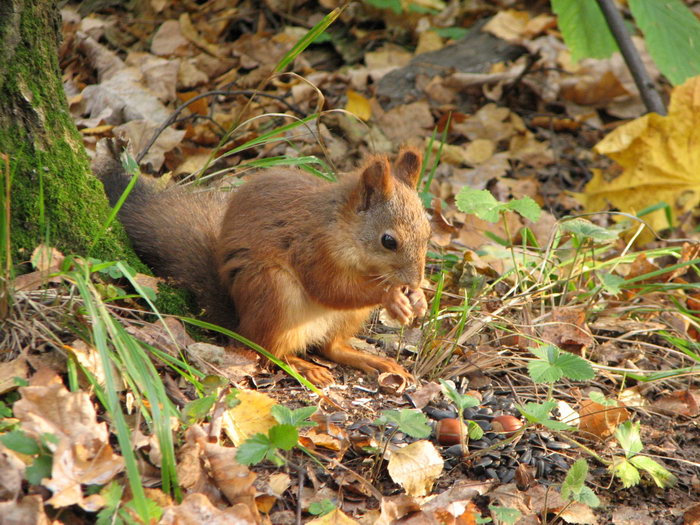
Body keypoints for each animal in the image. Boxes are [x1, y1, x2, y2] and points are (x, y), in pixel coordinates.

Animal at [94, 141, 431, 386]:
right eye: (388, 241)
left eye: (429, 232)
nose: (413, 281)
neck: (342, 228)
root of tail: (239, 322)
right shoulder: (312, 249)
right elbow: (329, 288)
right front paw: (391, 296)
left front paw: (419, 300)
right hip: (274, 292)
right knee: (264, 350)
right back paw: (301, 365)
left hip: (345, 317)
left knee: (330, 347)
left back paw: (371, 359)